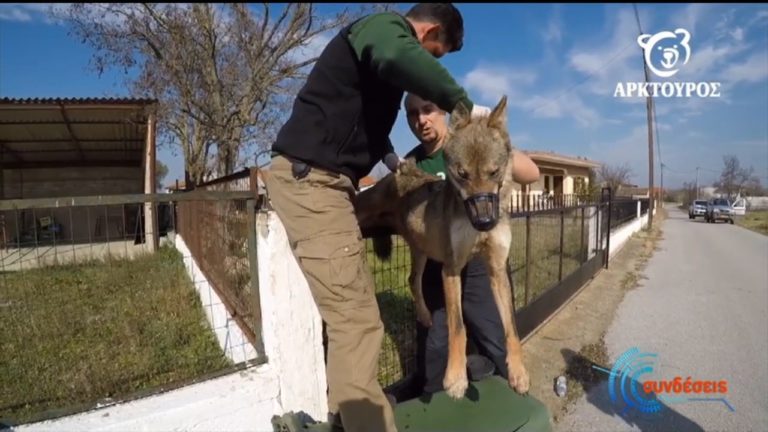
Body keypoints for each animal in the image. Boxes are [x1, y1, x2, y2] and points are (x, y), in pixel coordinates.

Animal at [352, 96, 528, 400]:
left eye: (493, 172)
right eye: (462, 174)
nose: (484, 222)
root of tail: (404, 170)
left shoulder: (496, 270)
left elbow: (511, 330)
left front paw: (518, 373)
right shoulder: (451, 269)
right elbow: (458, 328)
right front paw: (456, 378)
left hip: (421, 253)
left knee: (412, 280)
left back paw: (424, 315)